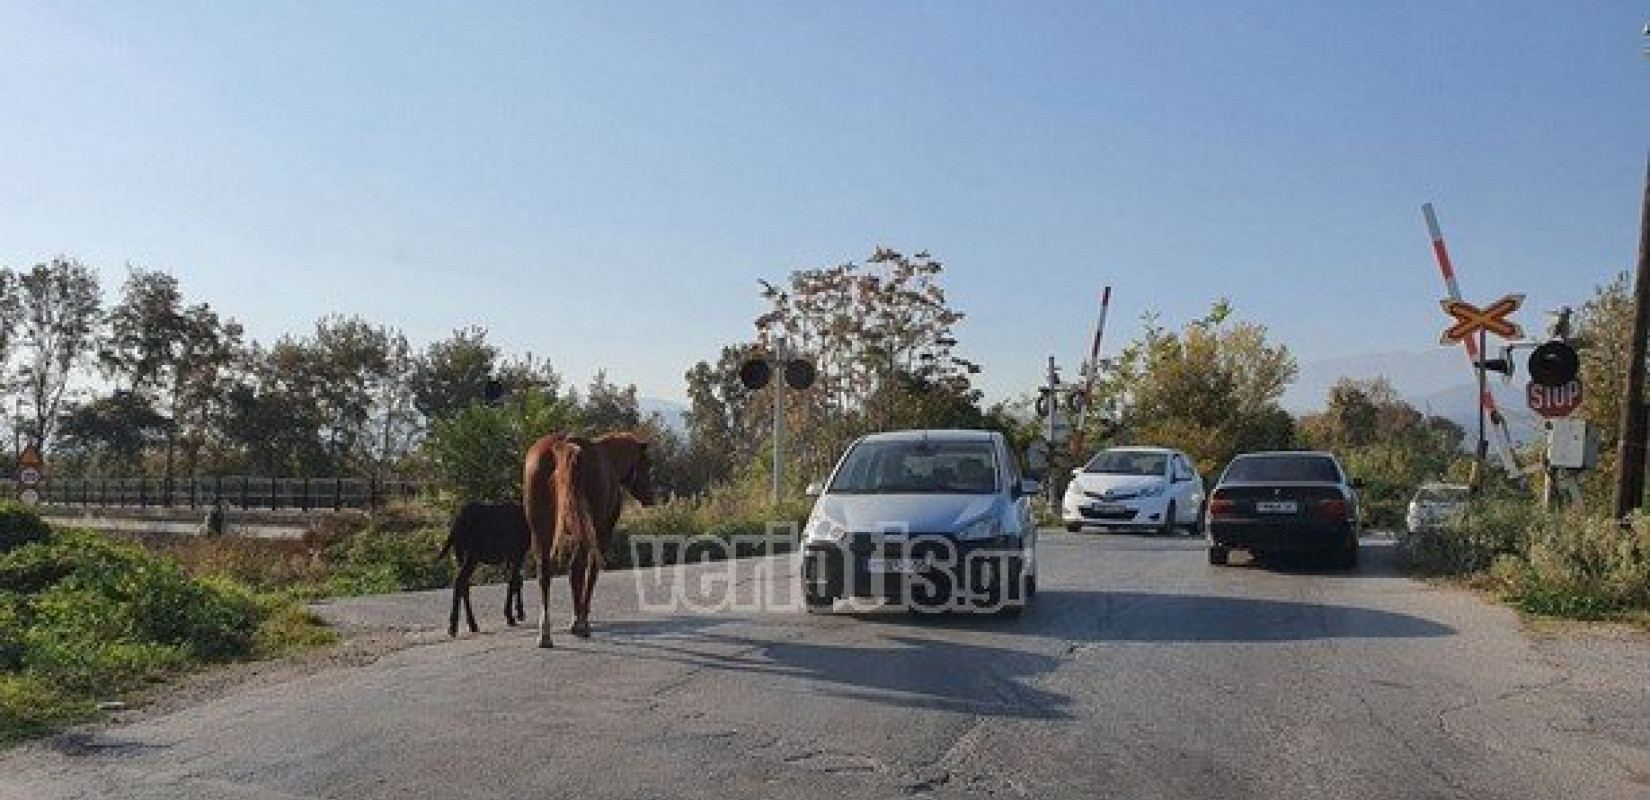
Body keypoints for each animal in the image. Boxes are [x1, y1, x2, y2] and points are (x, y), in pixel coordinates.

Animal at [528, 428, 656, 646]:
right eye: (646, 464)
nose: (651, 497)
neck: (612, 461)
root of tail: (563, 446)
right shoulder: (602, 533)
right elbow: (592, 571)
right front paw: (582, 618)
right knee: (575, 570)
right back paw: (579, 624)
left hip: (541, 532)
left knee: (544, 574)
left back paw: (545, 633)